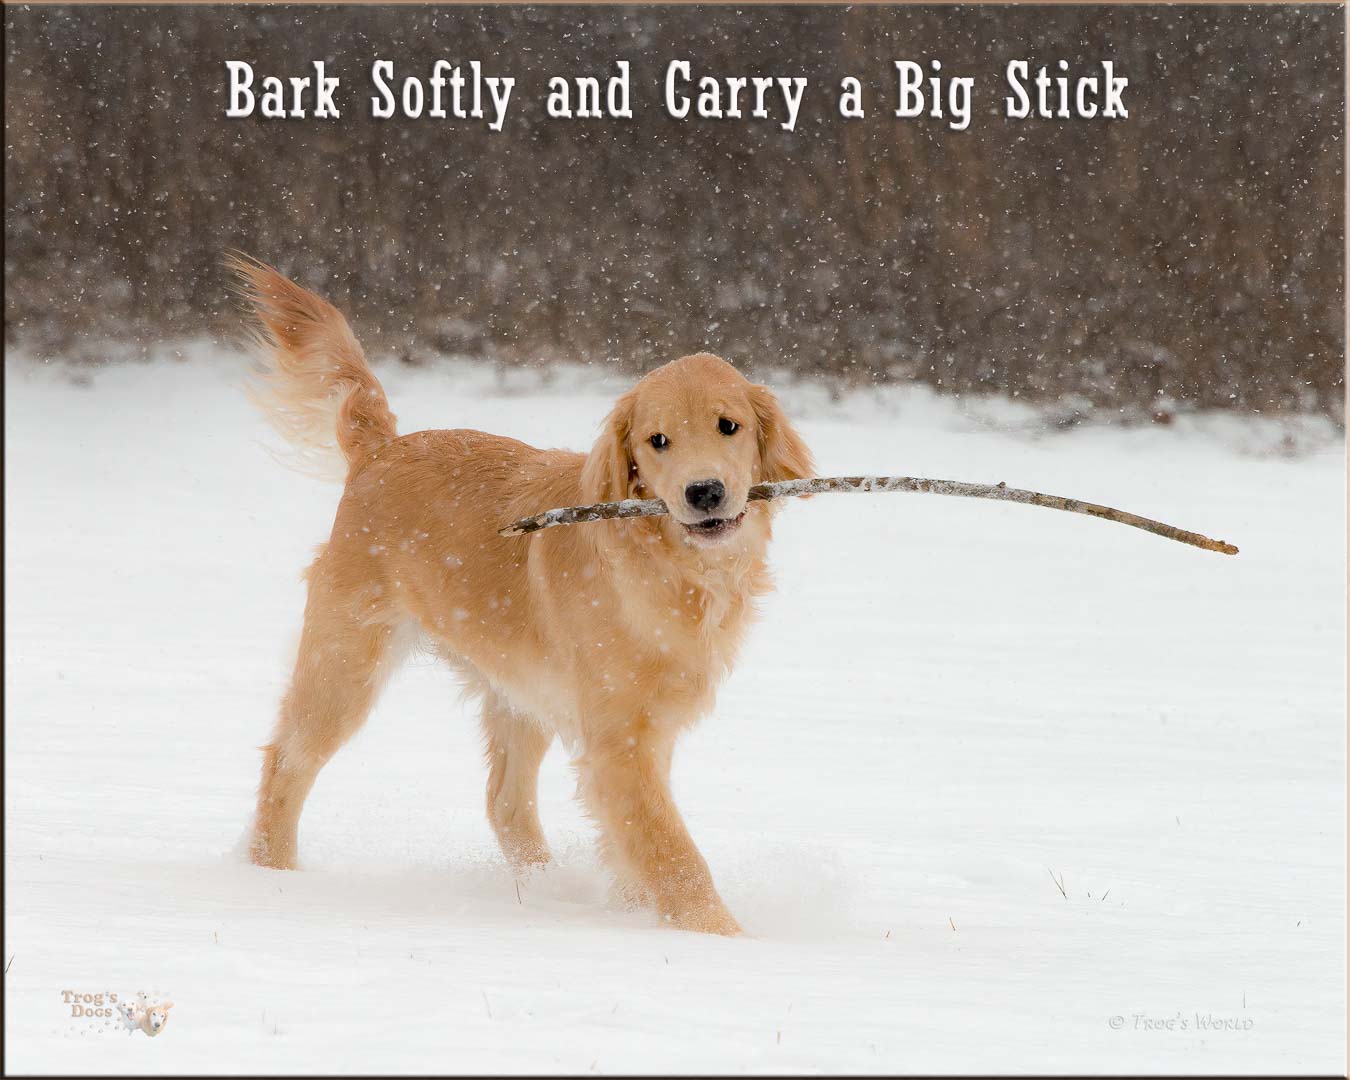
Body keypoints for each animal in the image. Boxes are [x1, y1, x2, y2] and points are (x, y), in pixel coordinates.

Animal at [232, 257, 810, 934]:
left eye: (729, 426)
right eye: (657, 440)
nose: (705, 492)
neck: (672, 571)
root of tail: (381, 448)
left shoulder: (651, 733)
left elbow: (638, 844)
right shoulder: (621, 744)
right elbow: (674, 855)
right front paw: (725, 939)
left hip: (520, 691)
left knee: (504, 802)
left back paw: (544, 890)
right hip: (346, 662)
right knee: (286, 760)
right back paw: (273, 877)